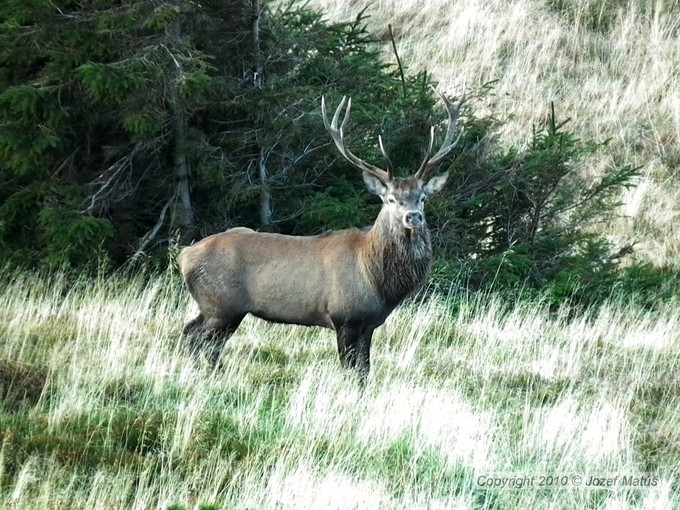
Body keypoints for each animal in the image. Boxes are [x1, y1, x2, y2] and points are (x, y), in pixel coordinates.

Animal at [178, 88, 464, 382]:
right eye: (391, 199)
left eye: (422, 198)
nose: (413, 217)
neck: (376, 278)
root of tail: (184, 256)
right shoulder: (344, 317)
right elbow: (351, 370)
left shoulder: (369, 324)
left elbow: (365, 371)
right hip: (222, 305)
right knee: (198, 339)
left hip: (216, 308)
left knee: (195, 336)